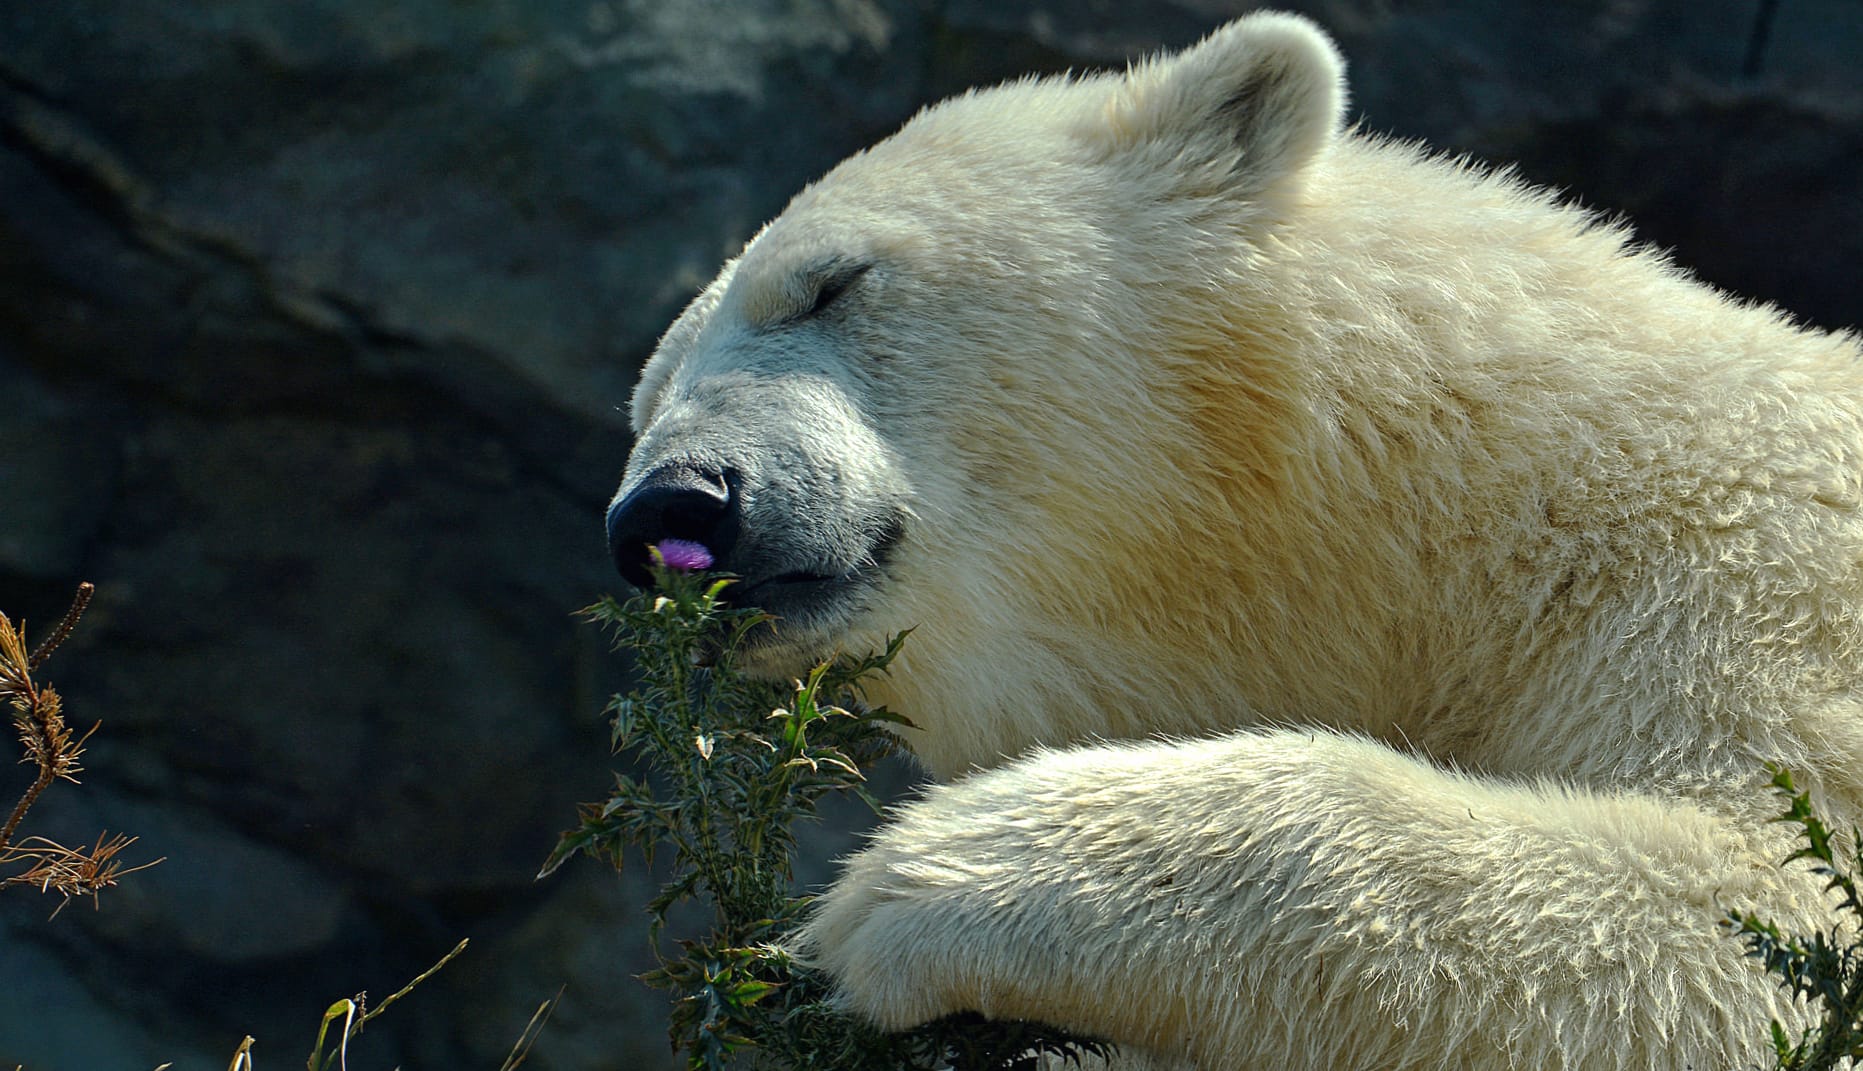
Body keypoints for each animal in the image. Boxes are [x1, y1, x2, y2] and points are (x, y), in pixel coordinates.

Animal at [599, 10, 1863, 1071]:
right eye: (646, 399)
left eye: (833, 282)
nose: (672, 506)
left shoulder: (1748, 572)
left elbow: (1752, 920)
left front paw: (923, 878)